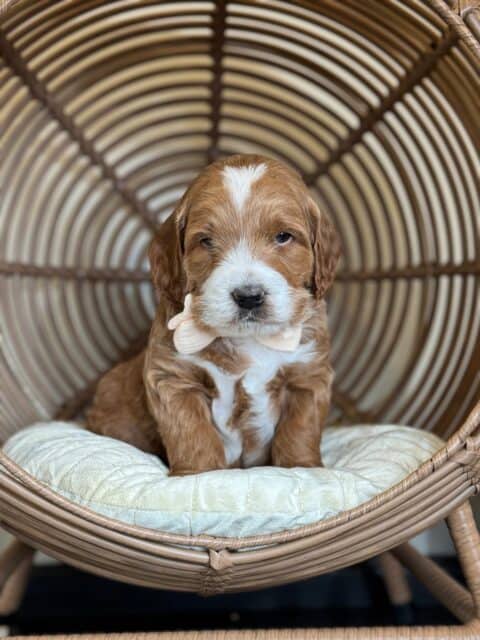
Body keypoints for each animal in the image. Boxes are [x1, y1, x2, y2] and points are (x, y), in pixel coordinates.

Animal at [86, 155, 342, 476]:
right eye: (206, 241)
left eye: (283, 236)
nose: (248, 296)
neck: (248, 339)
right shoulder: (173, 376)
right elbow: (192, 431)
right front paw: (199, 473)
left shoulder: (308, 374)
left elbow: (299, 428)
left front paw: (302, 467)